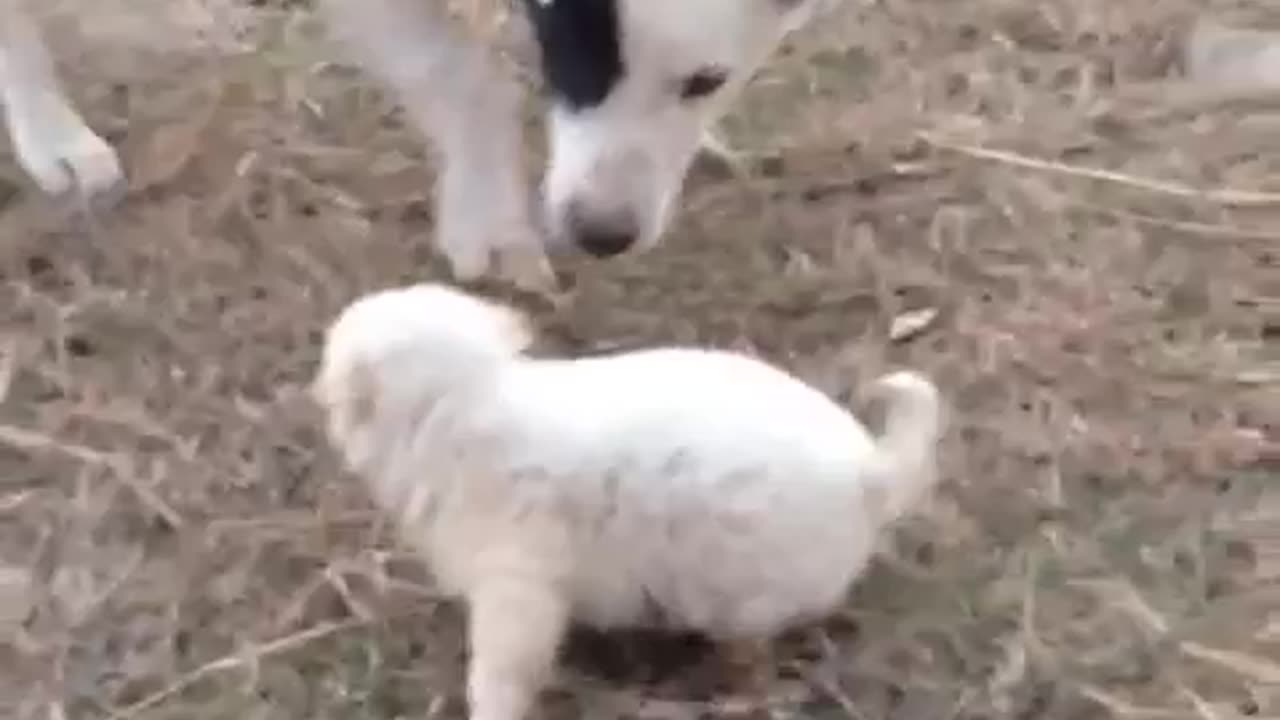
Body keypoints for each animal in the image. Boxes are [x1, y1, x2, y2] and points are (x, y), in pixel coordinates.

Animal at [313, 281, 947, 720]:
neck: (462, 407)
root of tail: (870, 472)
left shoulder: (517, 583)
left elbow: (502, 670)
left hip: (746, 596)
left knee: (754, 652)